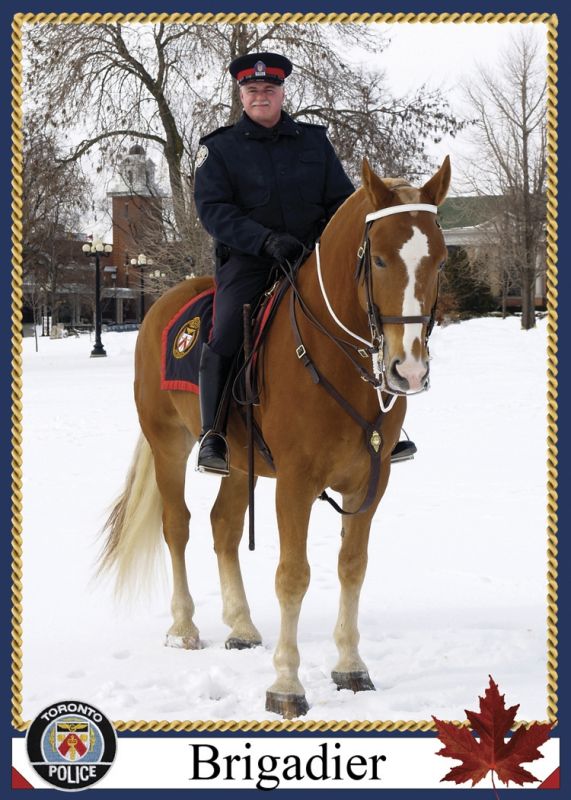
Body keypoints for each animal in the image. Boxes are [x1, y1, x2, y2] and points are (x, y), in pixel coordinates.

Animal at [99, 156, 451, 719]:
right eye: (377, 260)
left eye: (439, 261)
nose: (409, 370)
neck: (336, 358)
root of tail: (162, 302)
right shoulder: (295, 484)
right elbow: (293, 575)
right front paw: (287, 683)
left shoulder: (369, 485)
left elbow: (352, 567)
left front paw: (350, 666)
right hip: (167, 443)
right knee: (178, 526)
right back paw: (184, 626)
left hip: (241, 462)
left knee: (223, 526)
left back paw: (241, 625)